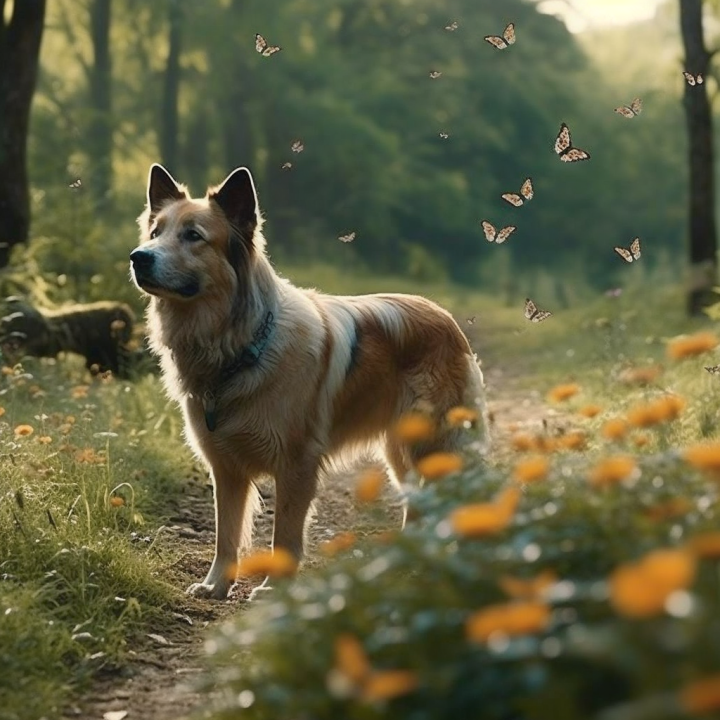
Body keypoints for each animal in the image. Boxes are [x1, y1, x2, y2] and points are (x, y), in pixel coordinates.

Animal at [129, 166, 490, 600]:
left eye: (193, 236)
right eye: (155, 232)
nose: (138, 258)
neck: (244, 346)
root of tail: (442, 315)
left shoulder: (296, 466)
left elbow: (283, 535)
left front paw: (274, 588)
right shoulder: (227, 469)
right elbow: (226, 534)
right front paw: (216, 584)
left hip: (437, 446)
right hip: (401, 452)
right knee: (418, 502)